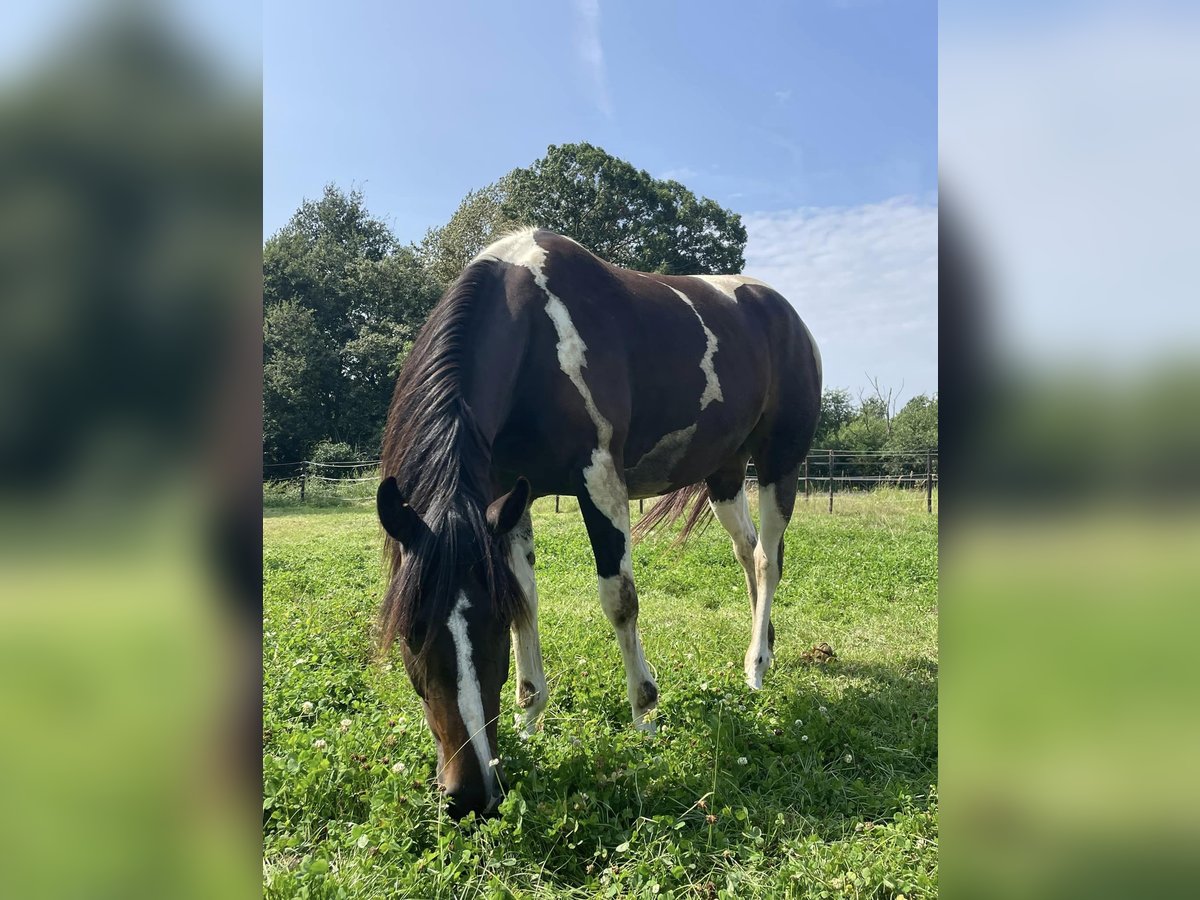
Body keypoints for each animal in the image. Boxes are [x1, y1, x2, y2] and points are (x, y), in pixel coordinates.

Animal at [376, 229, 825, 820]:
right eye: (410, 631)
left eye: (490, 626)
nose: (470, 795)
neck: (534, 333)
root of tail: (787, 314)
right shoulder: (508, 498)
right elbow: (528, 600)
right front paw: (529, 720)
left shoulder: (599, 479)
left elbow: (620, 600)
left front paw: (645, 717)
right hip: (725, 474)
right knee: (747, 552)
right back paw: (765, 647)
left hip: (780, 462)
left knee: (768, 560)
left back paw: (755, 669)